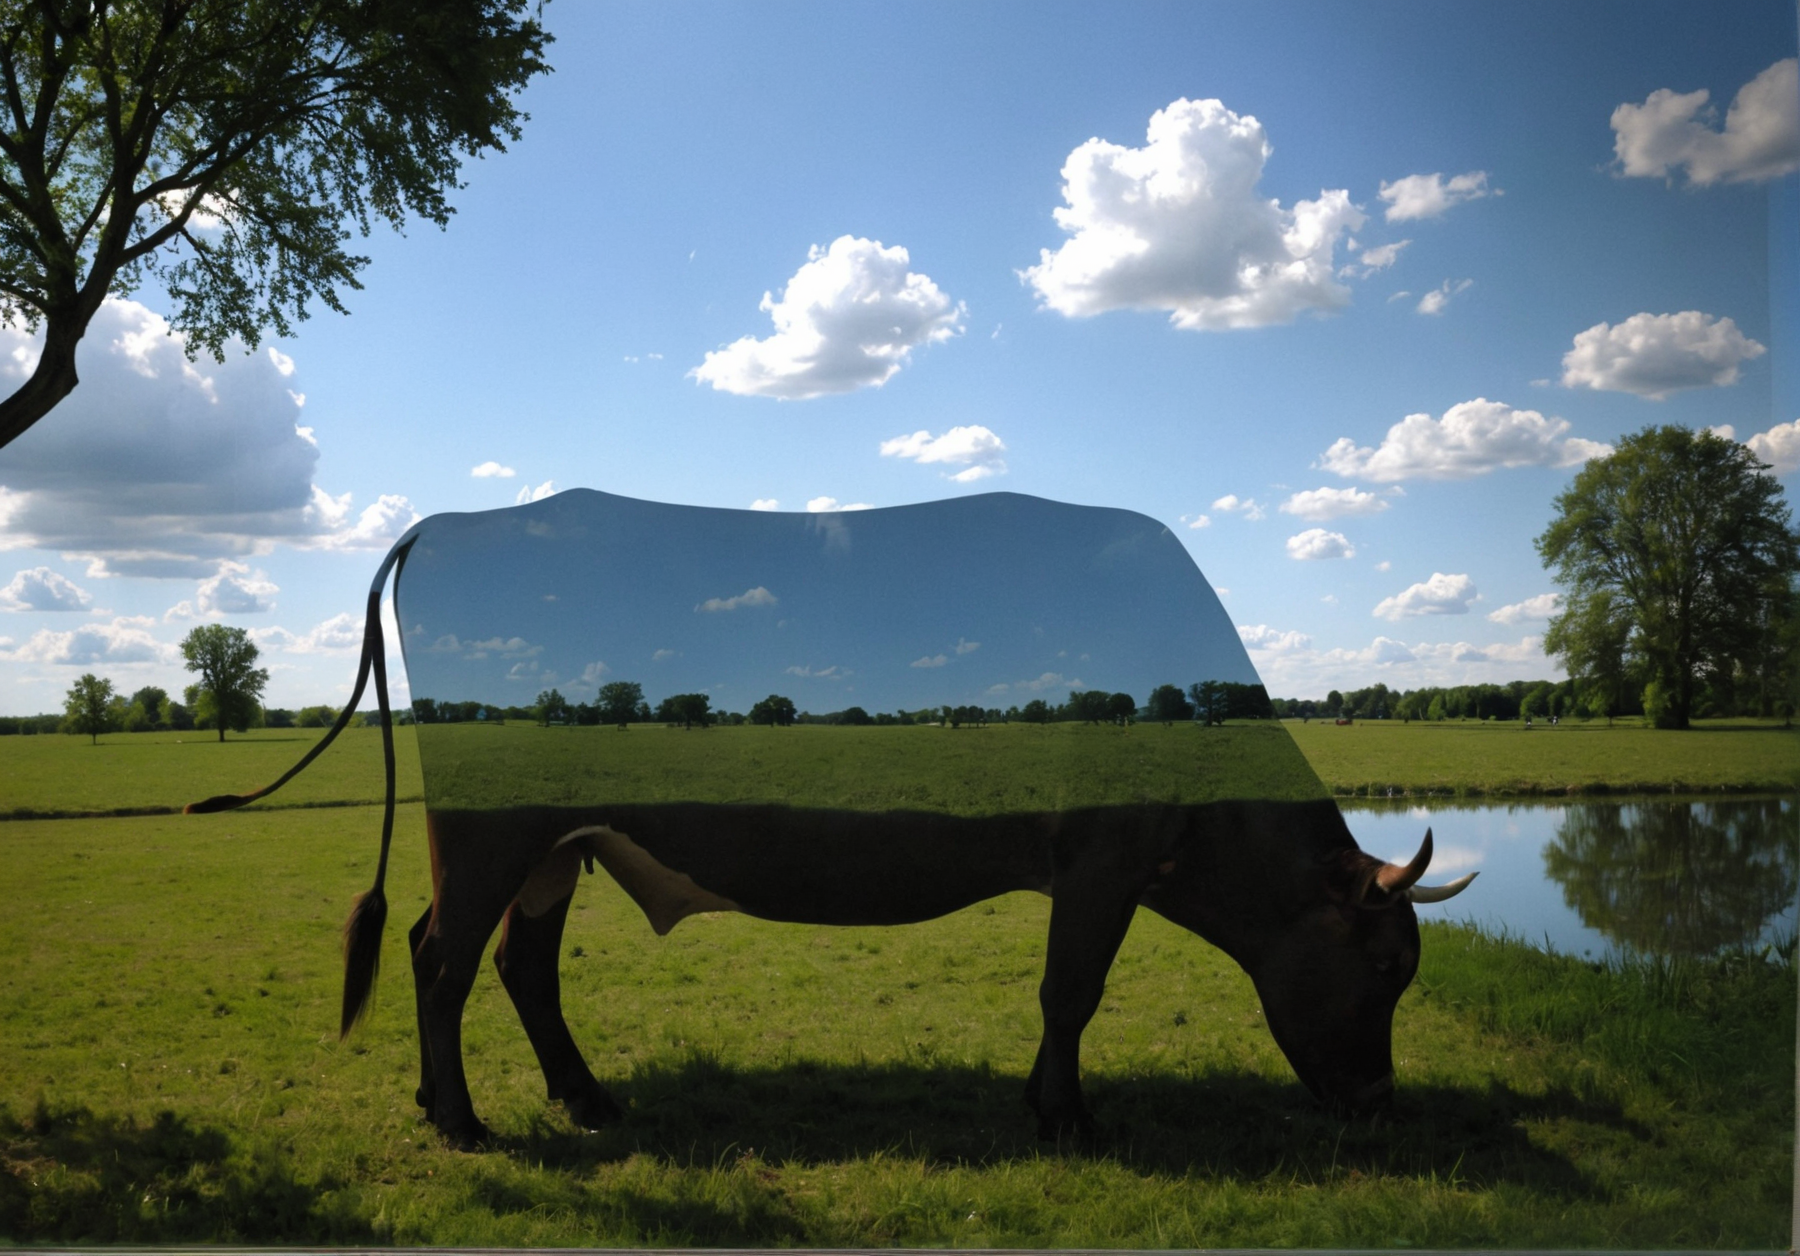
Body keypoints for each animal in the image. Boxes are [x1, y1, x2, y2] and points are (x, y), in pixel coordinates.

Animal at [188, 489, 1474, 1148]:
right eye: (1384, 965)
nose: (1379, 1104)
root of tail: (458, 514)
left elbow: (1064, 989)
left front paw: (1045, 1100)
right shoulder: (1102, 856)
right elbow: (1072, 987)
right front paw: (1064, 1111)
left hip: (558, 844)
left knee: (519, 963)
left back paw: (583, 1094)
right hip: (493, 832)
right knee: (442, 955)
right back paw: (458, 1117)